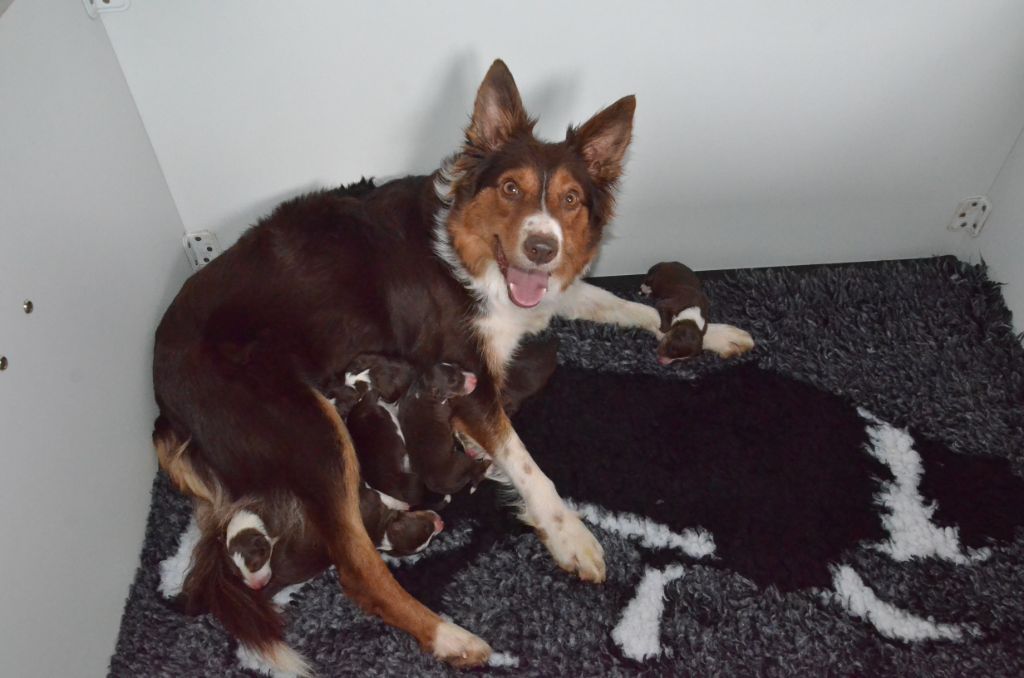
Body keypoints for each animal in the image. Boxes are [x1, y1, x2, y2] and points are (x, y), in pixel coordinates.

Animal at [153, 59, 761, 675]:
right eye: (511, 188)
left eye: (570, 199)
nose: (542, 248)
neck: (464, 253)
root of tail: (162, 394)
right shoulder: (469, 379)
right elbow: (527, 463)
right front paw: (569, 534)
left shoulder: (536, 301)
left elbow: (617, 304)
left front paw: (707, 332)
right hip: (312, 432)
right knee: (357, 568)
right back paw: (451, 637)